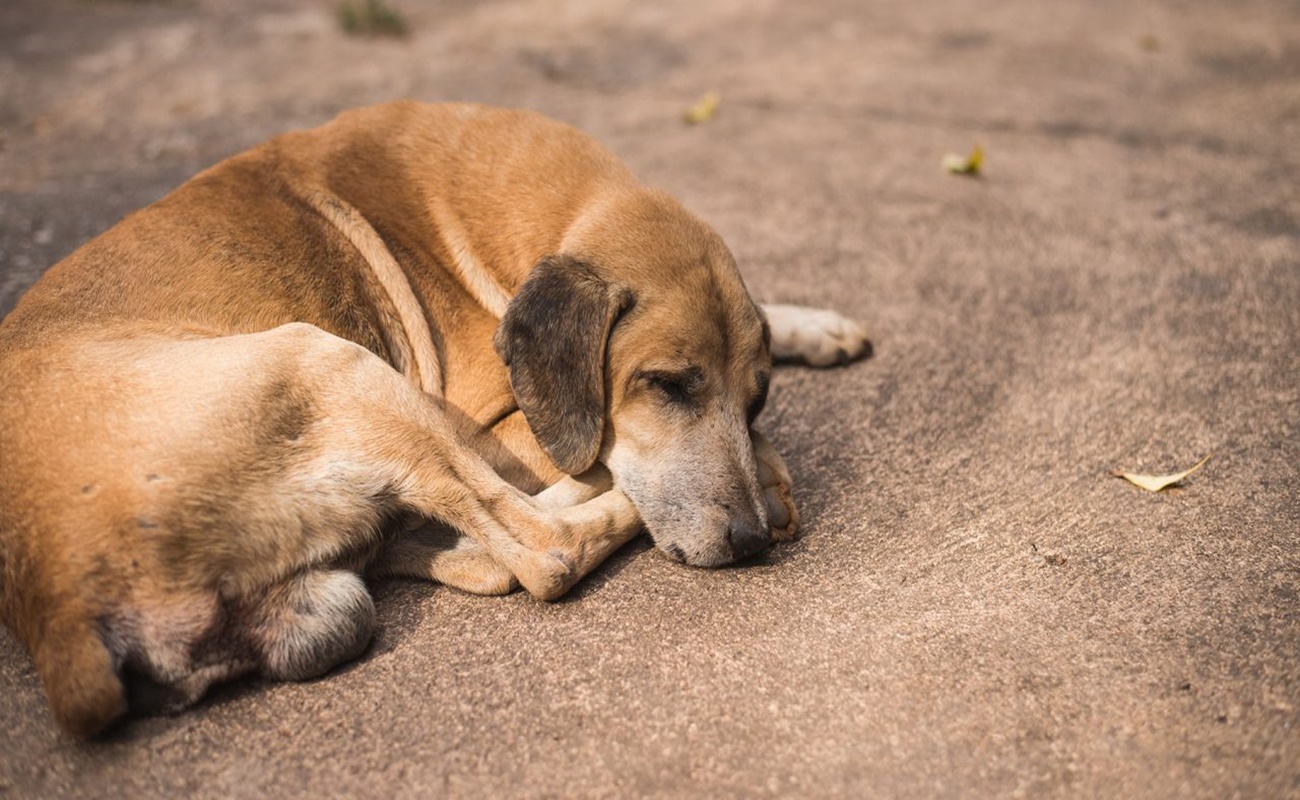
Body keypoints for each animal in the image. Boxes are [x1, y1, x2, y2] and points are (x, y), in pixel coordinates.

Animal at [5, 101, 873, 738]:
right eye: (666, 386)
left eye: (755, 395)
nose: (752, 539)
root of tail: (53, 611)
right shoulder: (495, 429)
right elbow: (578, 473)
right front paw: (761, 460)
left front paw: (809, 327)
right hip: (335, 362)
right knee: (540, 551)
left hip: (336, 591)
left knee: (465, 554)